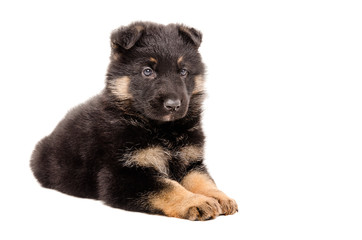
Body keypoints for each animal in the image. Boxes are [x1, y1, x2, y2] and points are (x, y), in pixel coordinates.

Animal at [30, 21, 238, 220]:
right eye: (147, 71)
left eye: (183, 72)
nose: (173, 105)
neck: (162, 129)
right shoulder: (124, 175)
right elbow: (167, 186)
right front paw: (194, 201)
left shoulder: (190, 163)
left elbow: (203, 180)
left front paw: (219, 196)